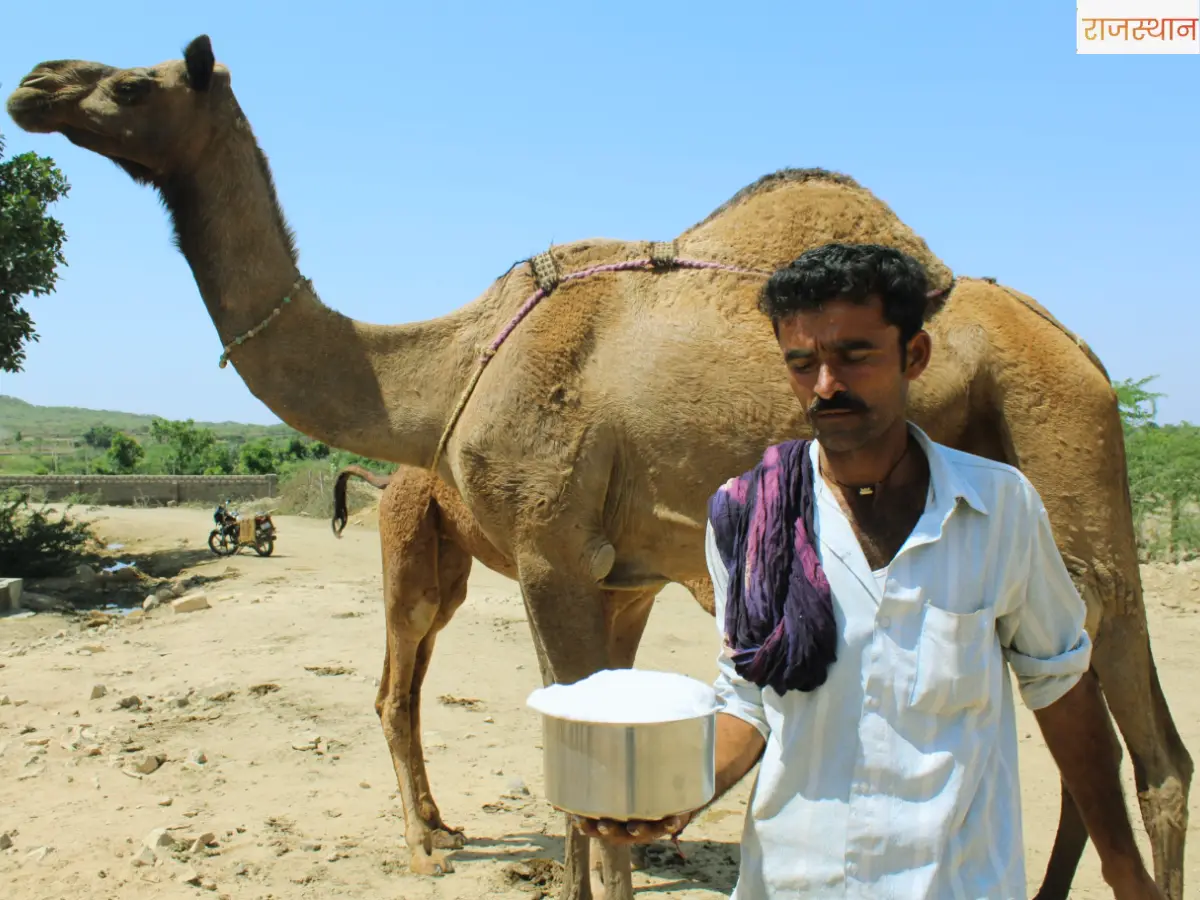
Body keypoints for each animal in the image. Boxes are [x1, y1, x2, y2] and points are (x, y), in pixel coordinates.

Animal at [330, 463, 713, 879]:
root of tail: (391, 479)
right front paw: (602, 859)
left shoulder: (638, 601)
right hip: (407, 551)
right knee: (395, 699)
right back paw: (421, 849)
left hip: (447, 572)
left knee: (407, 691)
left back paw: (441, 827)